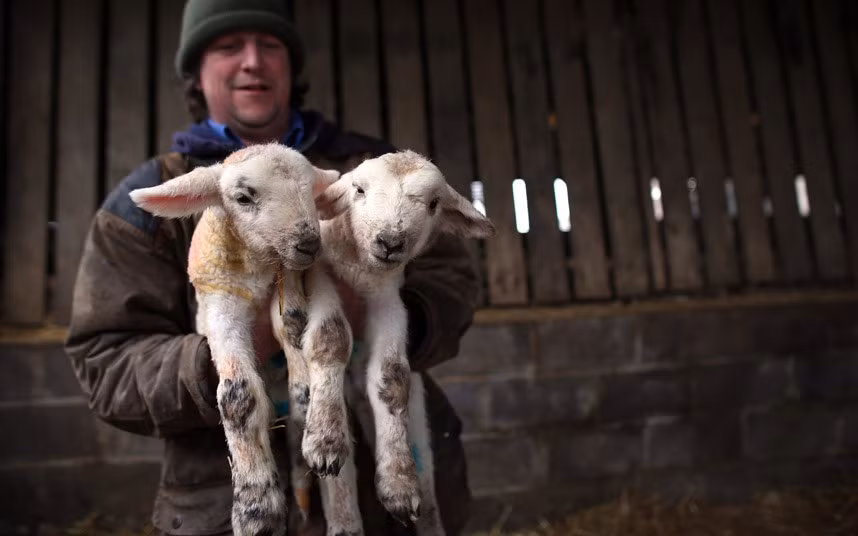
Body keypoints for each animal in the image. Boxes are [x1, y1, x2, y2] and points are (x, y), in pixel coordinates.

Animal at [129, 143, 340, 536]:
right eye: (243, 197)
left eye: (309, 190)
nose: (308, 243)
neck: (257, 267)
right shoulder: (219, 303)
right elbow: (238, 396)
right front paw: (256, 508)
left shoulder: (287, 282)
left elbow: (292, 325)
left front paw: (308, 397)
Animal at [274, 150, 495, 535]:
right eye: (358, 190)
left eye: (434, 204)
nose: (390, 242)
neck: (360, 271)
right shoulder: (321, 279)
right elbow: (331, 337)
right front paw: (325, 441)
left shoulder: (389, 303)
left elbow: (392, 376)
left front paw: (398, 486)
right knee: (339, 487)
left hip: (418, 421)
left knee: (429, 493)